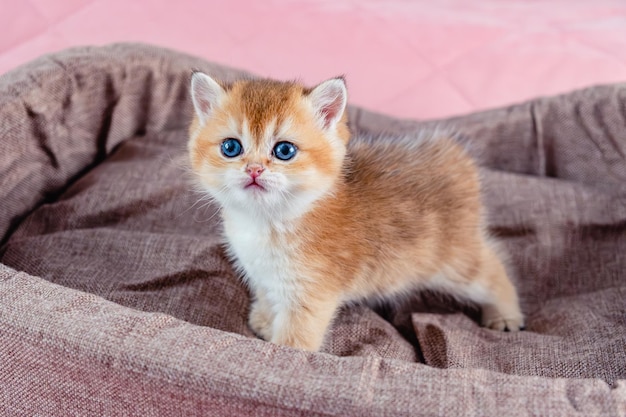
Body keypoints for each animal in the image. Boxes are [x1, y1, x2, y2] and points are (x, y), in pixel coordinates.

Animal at [186, 72, 520, 352]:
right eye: (231, 147)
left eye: (284, 150)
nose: (254, 169)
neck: (268, 222)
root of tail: (457, 159)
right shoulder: (262, 276)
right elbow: (267, 296)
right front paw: (265, 321)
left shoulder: (311, 296)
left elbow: (294, 343)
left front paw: (280, 351)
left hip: (458, 263)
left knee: (493, 268)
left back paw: (505, 314)